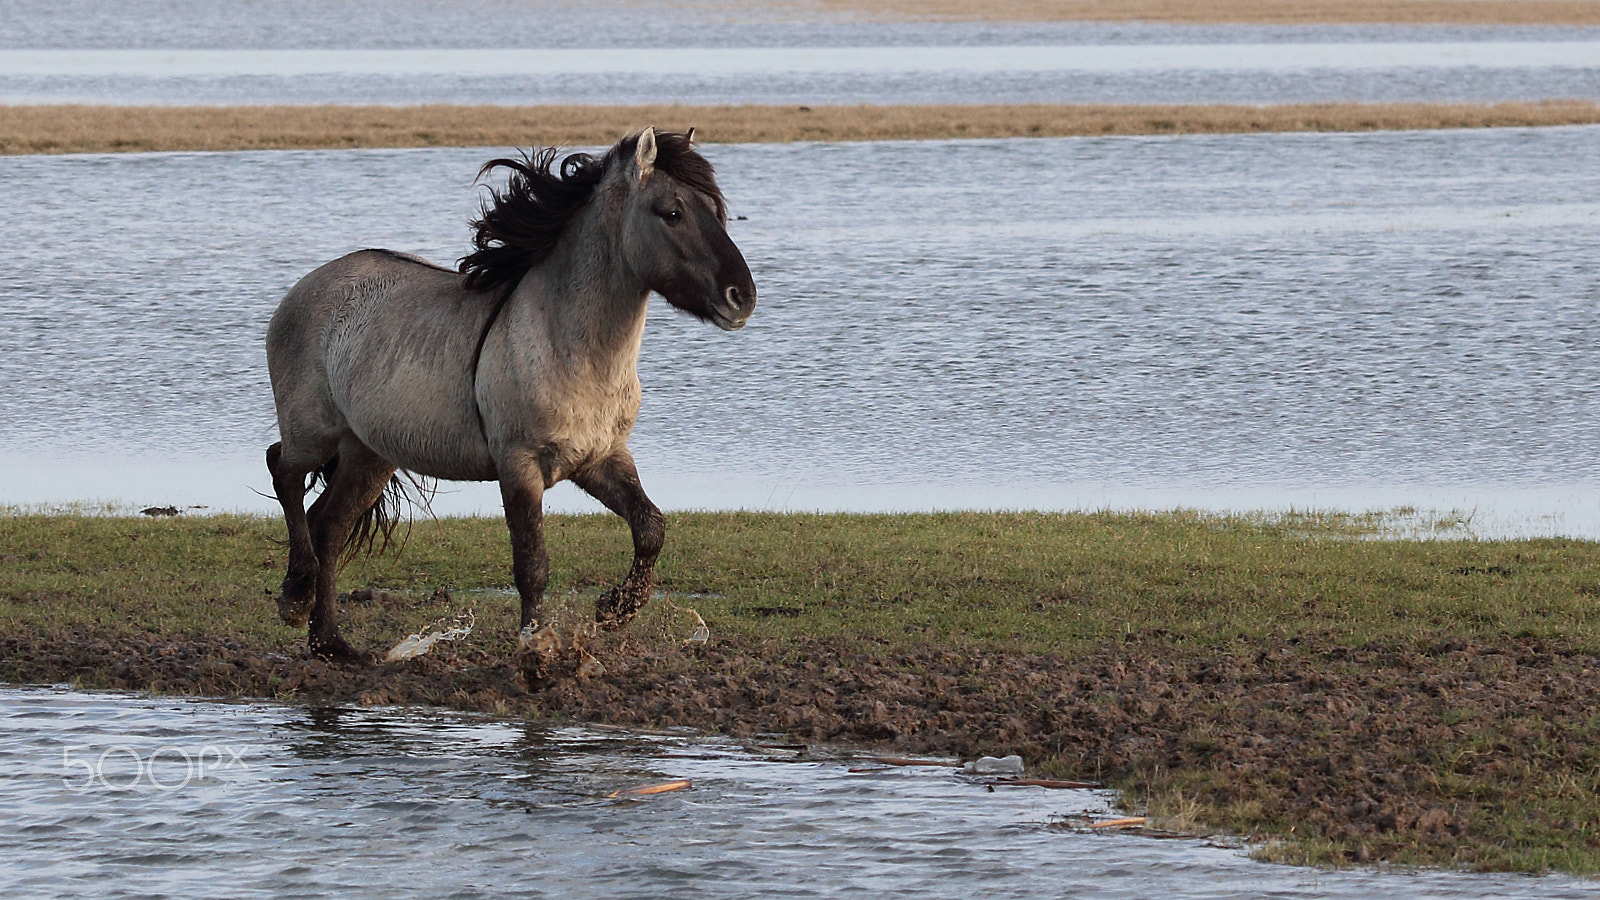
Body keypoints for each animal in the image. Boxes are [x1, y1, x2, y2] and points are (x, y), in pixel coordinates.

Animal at [265, 126, 758, 666]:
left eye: (715, 210)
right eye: (671, 212)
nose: (742, 297)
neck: (566, 344)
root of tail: (304, 289)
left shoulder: (600, 458)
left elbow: (651, 527)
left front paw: (615, 609)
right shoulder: (519, 467)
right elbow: (532, 564)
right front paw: (537, 649)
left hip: (369, 454)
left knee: (328, 526)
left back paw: (330, 643)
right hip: (314, 432)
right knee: (283, 471)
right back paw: (295, 596)